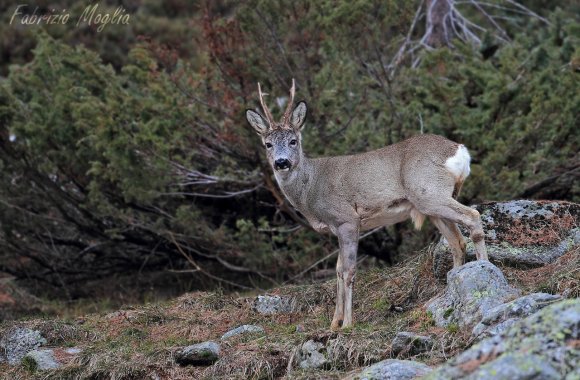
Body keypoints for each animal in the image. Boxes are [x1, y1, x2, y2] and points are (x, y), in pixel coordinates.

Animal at [246, 80, 490, 330]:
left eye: (293, 141)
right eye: (268, 144)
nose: (281, 162)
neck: (311, 188)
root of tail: (460, 150)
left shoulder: (347, 219)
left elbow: (348, 270)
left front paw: (347, 324)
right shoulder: (337, 228)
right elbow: (337, 271)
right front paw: (334, 323)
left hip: (429, 192)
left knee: (472, 215)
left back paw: (484, 271)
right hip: (431, 204)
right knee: (457, 242)